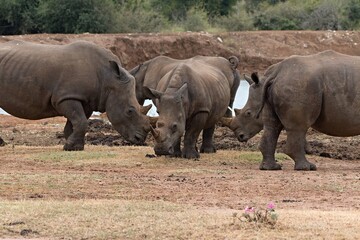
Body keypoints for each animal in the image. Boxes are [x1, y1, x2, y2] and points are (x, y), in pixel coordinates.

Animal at [0, 40, 150, 150]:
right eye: (130, 111)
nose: (139, 139)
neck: (108, 78)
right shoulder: (66, 97)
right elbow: (80, 120)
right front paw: (71, 146)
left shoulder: (87, 100)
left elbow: (75, 122)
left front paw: (74, 146)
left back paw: (2, 144)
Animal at [221, 50, 360, 171]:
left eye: (248, 113)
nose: (240, 136)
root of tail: (277, 72)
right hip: (299, 84)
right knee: (299, 127)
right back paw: (307, 168)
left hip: (290, 85)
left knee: (273, 126)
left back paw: (271, 168)